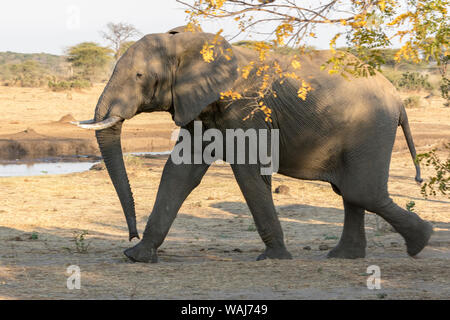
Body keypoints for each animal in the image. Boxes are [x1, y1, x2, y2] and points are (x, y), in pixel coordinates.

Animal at [74, 26, 432, 262]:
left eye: (138, 77)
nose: (130, 233)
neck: (188, 43)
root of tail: (399, 99)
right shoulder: (200, 105)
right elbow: (179, 172)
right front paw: (137, 255)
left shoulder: (247, 110)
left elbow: (247, 173)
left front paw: (274, 257)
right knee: (350, 193)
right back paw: (345, 256)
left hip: (371, 128)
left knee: (361, 192)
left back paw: (421, 241)